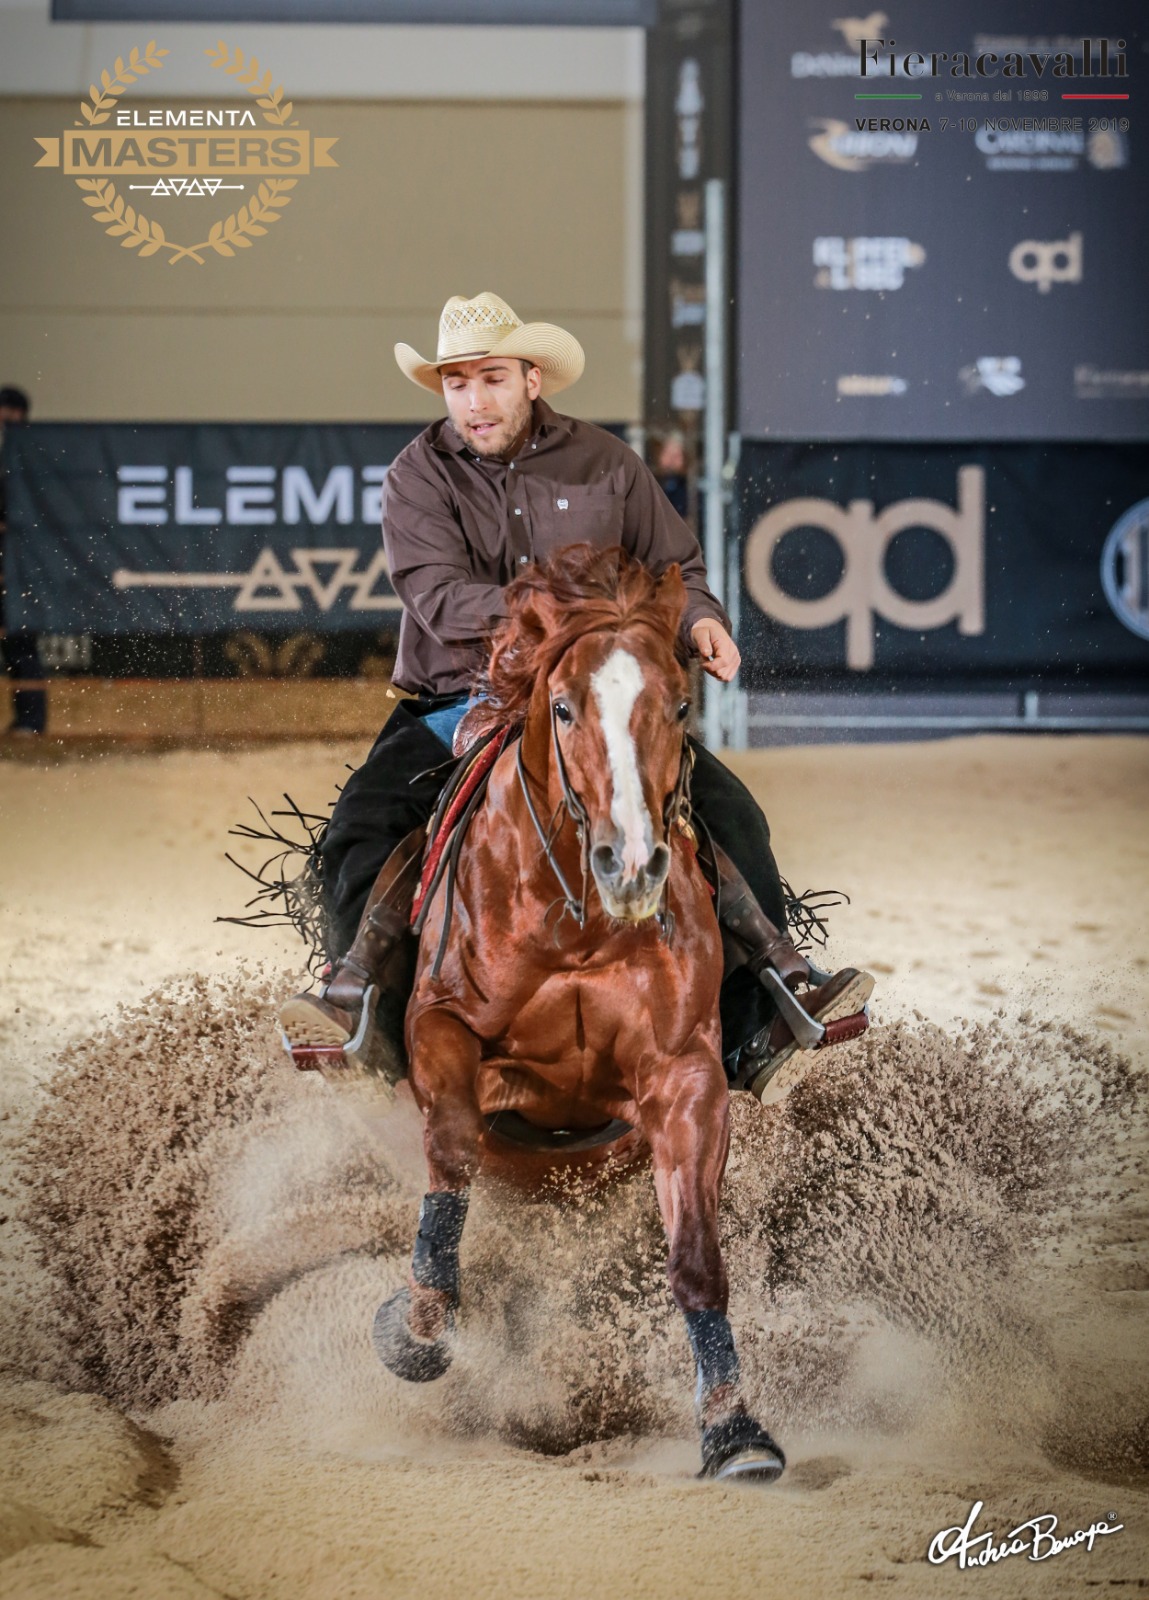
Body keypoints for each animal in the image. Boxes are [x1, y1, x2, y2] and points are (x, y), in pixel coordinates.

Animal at [372, 550, 787, 1484]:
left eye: (679, 705)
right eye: (562, 708)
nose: (631, 865)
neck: (578, 924)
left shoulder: (685, 1073)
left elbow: (696, 1258)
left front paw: (733, 1429)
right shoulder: (441, 1029)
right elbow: (450, 1149)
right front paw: (416, 1328)